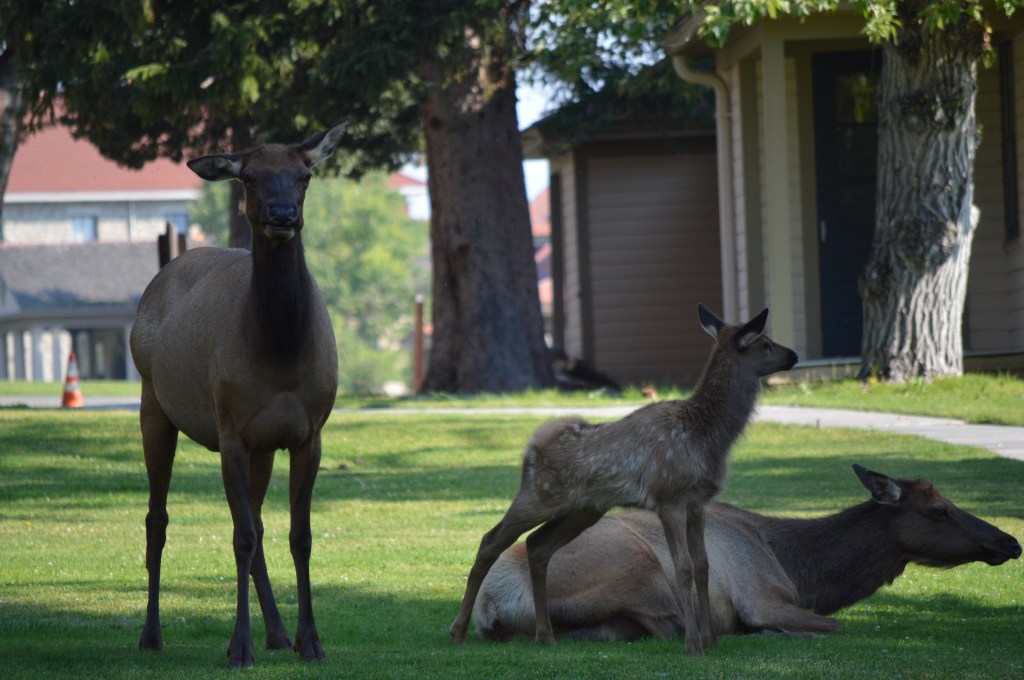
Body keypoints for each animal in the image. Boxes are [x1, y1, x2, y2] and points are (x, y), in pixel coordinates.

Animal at [131, 123, 346, 668]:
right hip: (152, 400)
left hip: (262, 446)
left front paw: (310, 640)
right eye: (249, 177)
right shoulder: (230, 430)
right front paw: (239, 647)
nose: (283, 216)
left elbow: (298, 535)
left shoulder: (308, 432)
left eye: (305, 176)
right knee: (157, 518)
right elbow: (241, 536)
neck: (281, 356)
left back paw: (278, 633)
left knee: (263, 527)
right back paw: (151, 634)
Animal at [449, 305, 799, 655]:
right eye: (765, 343)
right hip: (537, 495)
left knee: (537, 545)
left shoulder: (697, 502)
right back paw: (458, 631)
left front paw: (711, 641)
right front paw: (693, 645)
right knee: (490, 540)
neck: (707, 439)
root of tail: (530, 448)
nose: (794, 355)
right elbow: (683, 567)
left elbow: (703, 566)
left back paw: (544, 635)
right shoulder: (669, 497)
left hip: (584, 509)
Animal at [472, 464, 1022, 641]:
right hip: (637, 564)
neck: (801, 571)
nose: (1010, 541)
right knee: (675, 624)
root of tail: (492, 603)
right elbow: (835, 624)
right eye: (939, 510)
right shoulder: (762, 596)